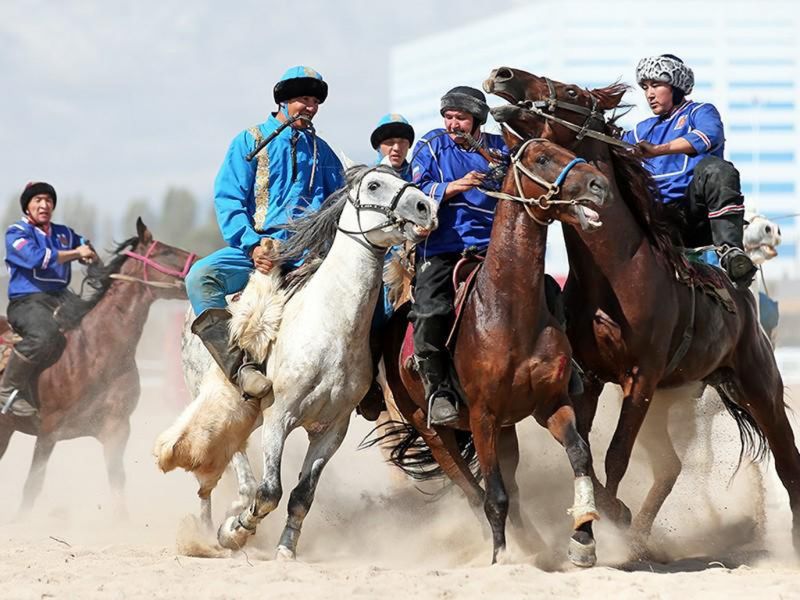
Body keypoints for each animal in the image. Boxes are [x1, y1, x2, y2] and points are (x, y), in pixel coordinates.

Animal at [0, 220, 196, 516]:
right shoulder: (48, 431)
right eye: (165, 251)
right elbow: (32, 486)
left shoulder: (116, 429)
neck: (93, 351)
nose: (201, 262)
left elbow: (117, 483)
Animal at [154, 164, 438, 556]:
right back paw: (210, 529)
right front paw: (235, 530)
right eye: (374, 184)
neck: (329, 327)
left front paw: (286, 547)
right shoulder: (279, 418)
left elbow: (302, 495)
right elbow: (269, 491)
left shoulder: (331, 430)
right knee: (228, 469)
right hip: (220, 404)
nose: (425, 207)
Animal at [380, 137, 608, 568]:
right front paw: (500, 557)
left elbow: (579, 454)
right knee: (473, 490)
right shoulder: (482, 417)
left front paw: (583, 537)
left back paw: (535, 545)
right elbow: (494, 496)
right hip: (435, 431)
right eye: (542, 158)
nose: (599, 184)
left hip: (505, 431)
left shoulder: (551, 403)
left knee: (510, 488)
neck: (508, 309)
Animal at [482, 68, 800, 556]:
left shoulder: (641, 376)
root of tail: (743, 298)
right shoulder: (592, 377)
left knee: (787, 460)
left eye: (570, 91)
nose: (502, 75)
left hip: (758, 381)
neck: (617, 272)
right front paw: (595, 525)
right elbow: (586, 449)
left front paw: (605, 522)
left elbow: (616, 455)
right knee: (670, 466)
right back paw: (641, 539)